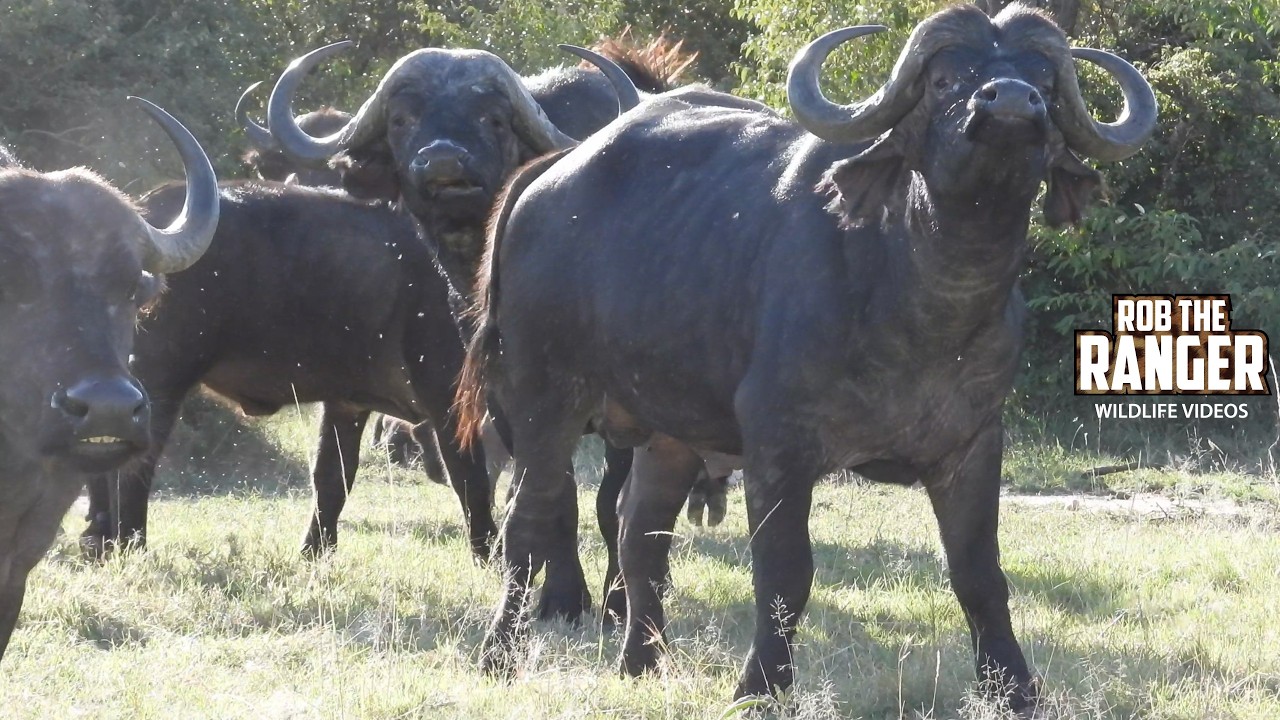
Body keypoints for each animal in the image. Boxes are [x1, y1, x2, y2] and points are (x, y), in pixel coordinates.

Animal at [457, 5, 1156, 713]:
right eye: (943, 80)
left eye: (1044, 80)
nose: (1011, 101)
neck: (923, 297)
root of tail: (550, 173)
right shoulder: (779, 447)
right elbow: (786, 573)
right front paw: (760, 687)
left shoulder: (975, 445)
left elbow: (980, 574)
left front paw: (1015, 689)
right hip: (542, 405)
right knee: (529, 524)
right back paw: (499, 655)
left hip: (668, 435)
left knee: (639, 535)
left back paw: (641, 662)